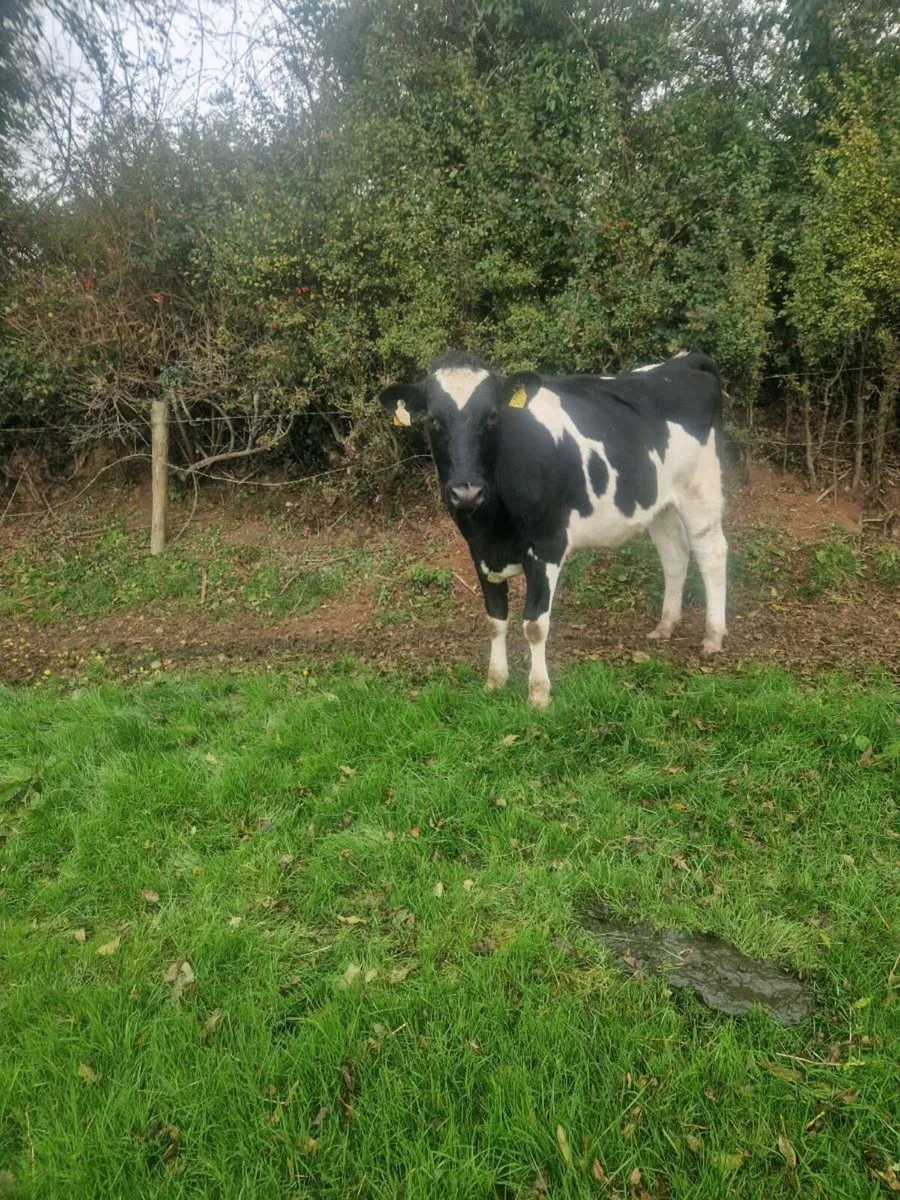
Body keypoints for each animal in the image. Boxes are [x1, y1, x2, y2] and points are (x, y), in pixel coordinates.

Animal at [378, 350, 727, 707]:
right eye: (432, 420)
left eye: (492, 416)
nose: (466, 492)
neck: (494, 526)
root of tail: (682, 361)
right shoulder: (479, 551)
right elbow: (495, 619)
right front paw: (495, 680)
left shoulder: (546, 546)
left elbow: (534, 625)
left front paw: (538, 693)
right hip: (659, 503)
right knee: (674, 556)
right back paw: (666, 625)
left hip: (700, 489)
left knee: (712, 554)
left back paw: (713, 635)